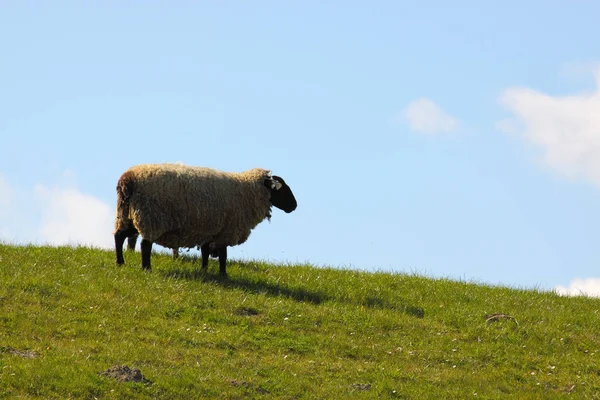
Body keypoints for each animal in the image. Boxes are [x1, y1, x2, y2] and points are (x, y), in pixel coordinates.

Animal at [113, 162, 298, 276]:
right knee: (145, 245)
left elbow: (205, 252)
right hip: (151, 217)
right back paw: (146, 268)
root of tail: (128, 179)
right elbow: (223, 254)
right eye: (282, 189)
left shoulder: (209, 229)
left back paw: (120, 263)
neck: (246, 190)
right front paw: (223, 274)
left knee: (119, 236)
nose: (294, 206)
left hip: (127, 215)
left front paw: (204, 270)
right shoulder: (225, 230)